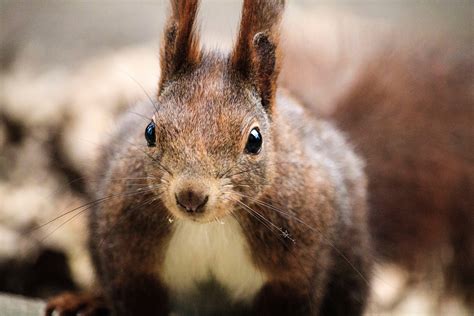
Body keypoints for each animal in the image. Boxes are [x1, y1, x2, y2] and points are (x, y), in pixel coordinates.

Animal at [44, 0, 372, 316]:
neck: (212, 225)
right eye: (150, 131)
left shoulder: (294, 272)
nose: (190, 195)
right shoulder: (129, 262)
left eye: (255, 140)